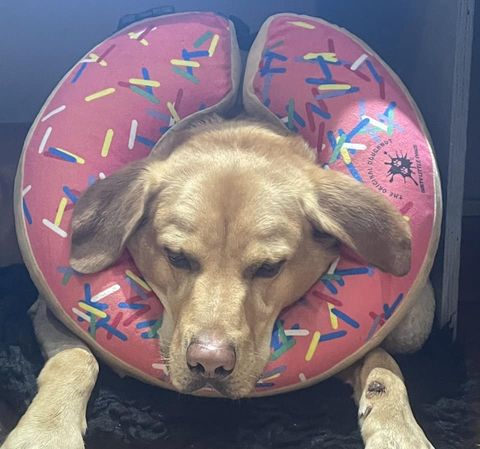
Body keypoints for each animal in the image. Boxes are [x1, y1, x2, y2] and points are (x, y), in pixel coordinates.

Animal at [2, 114, 436, 448]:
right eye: (175, 256)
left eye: (270, 267)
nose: (209, 364)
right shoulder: (47, 313)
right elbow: (77, 359)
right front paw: (45, 433)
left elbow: (384, 361)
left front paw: (400, 433)